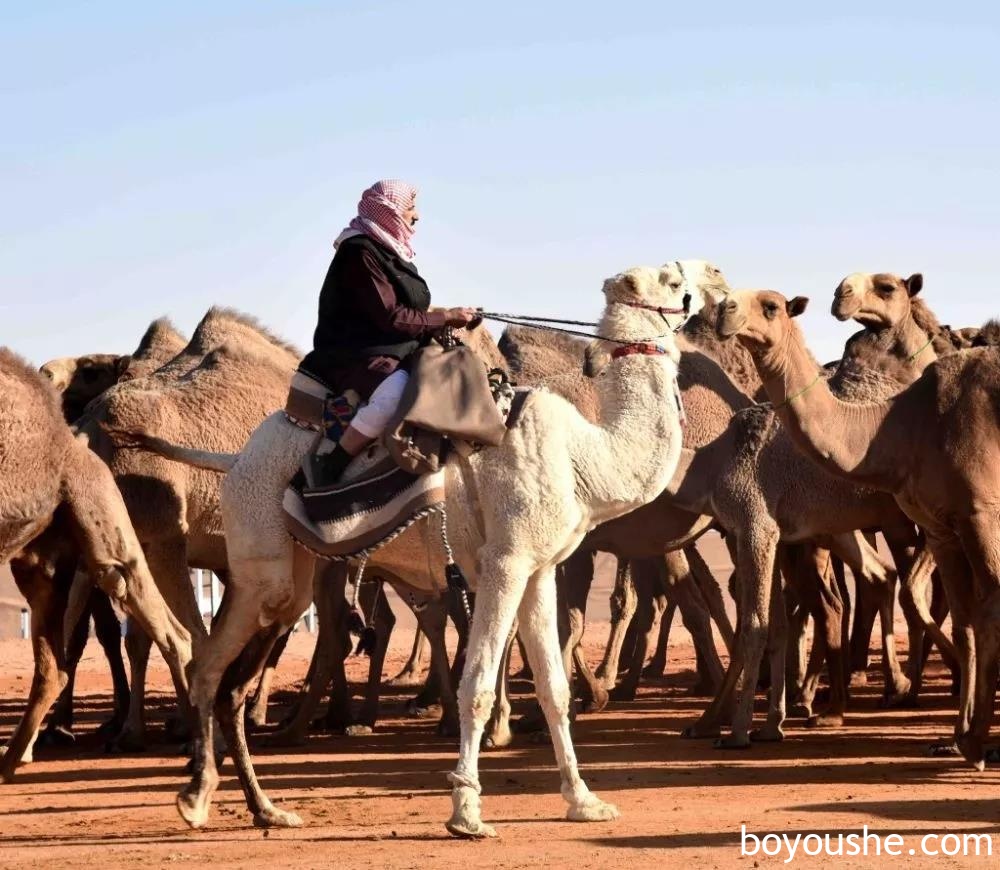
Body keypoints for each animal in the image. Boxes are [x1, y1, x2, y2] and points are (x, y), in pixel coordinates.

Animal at [0, 350, 193, 784]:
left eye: (91, 371)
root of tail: (76, 440)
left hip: (103, 522)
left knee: (169, 629)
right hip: (42, 561)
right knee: (54, 666)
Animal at [125, 264, 700, 836]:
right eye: (671, 280)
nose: (698, 295)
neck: (583, 457)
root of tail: (236, 458)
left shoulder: (539, 570)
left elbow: (553, 689)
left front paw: (584, 802)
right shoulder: (505, 563)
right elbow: (478, 684)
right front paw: (466, 813)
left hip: (293, 573)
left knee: (230, 676)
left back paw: (258, 806)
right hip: (261, 561)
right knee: (211, 664)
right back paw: (202, 794)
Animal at [724, 288, 1000, 768]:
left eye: (771, 305)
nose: (724, 310)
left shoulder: (981, 512)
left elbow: (988, 614)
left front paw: (978, 741)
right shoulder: (942, 526)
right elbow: (966, 623)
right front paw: (960, 737)